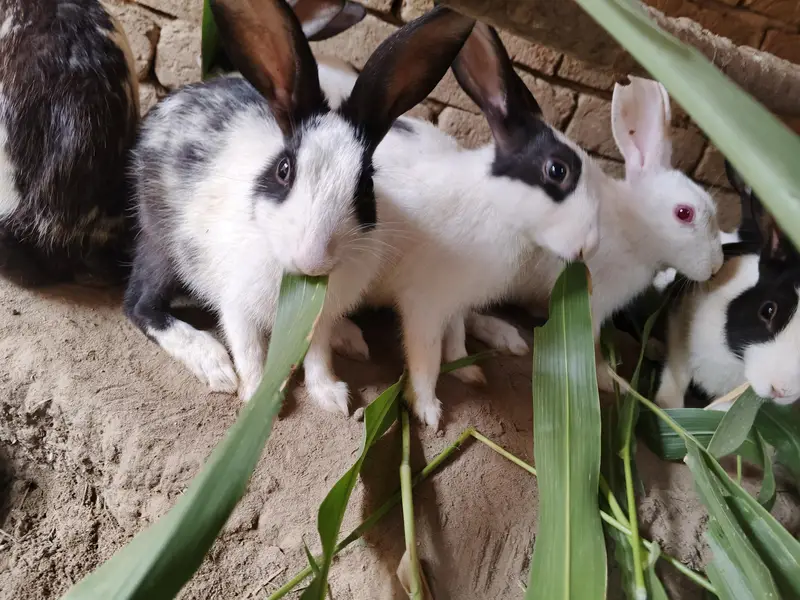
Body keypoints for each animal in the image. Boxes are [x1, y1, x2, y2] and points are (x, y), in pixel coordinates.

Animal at [123, 0, 476, 413]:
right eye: (284, 170)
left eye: (366, 184)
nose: (313, 260)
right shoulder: (236, 305)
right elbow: (249, 351)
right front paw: (256, 397)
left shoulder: (317, 319)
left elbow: (318, 355)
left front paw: (332, 397)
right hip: (162, 244)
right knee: (140, 304)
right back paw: (214, 364)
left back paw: (349, 337)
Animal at [330, 22, 604, 428]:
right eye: (557, 170)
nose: (591, 245)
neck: (494, 206)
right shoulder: (425, 304)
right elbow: (426, 356)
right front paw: (428, 410)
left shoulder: (455, 300)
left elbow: (456, 332)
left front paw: (465, 368)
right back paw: (347, 338)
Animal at [460, 75, 724, 392]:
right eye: (684, 213)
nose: (716, 266)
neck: (634, 227)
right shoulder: (593, 302)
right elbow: (594, 345)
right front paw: (611, 381)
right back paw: (506, 337)